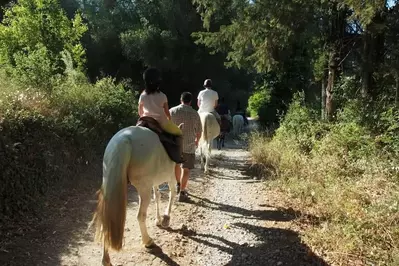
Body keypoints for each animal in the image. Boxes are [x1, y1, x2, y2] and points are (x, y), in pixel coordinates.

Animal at [93, 126, 177, 266]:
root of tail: (124, 139)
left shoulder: (154, 182)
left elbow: (158, 196)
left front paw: (158, 220)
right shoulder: (171, 177)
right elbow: (172, 194)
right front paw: (166, 219)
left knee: (107, 221)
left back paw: (106, 260)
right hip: (144, 189)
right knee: (140, 216)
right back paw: (148, 242)